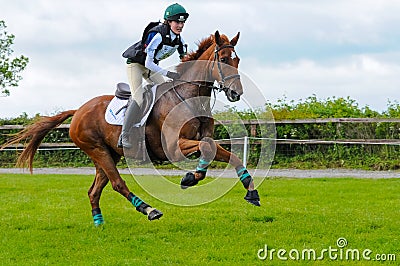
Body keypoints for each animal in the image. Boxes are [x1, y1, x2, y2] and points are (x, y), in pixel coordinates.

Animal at [2, 31, 262, 227]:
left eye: (237, 60)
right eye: (224, 59)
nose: (236, 93)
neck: (190, 98)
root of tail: (78, 111)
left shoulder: (200, 141)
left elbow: (223, 152)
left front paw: (249, 192)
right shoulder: (173, 148)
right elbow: (207, 148)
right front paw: (191, 176)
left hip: (108, 154)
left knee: (94, 190)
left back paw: (99, 223)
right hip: (97, 150)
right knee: (118, 184)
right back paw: (149, 210)